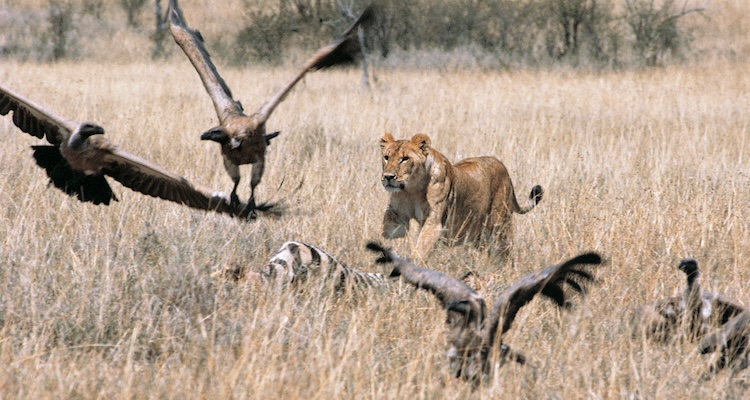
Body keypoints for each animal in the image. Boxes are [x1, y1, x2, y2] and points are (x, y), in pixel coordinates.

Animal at [379, 133, 543, 260]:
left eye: (405, 159)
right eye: (386, 157)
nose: (388, 177)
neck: (411, 189)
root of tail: (504, 169)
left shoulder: (434, 223)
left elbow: (420, 250)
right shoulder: (397, 214)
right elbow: (388, 230)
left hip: (500, 225)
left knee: (504, 252)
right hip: (477, 233)